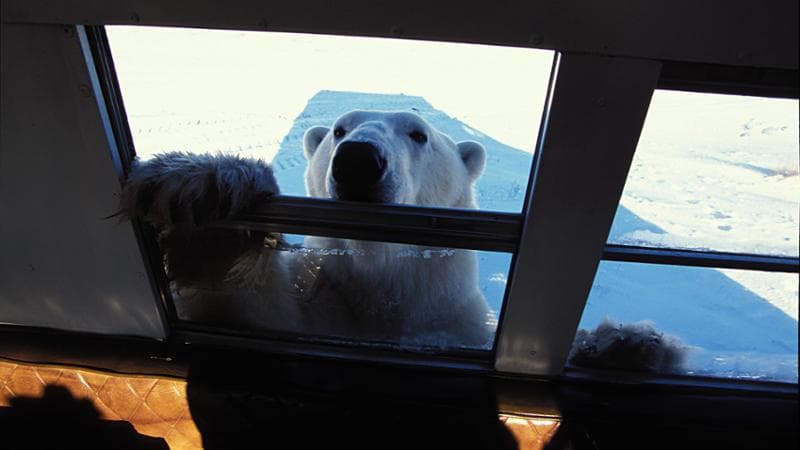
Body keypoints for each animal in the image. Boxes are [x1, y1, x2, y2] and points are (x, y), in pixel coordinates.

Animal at [120, 110, 494, 348]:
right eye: (339, 130)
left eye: (419, 134)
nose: (357, 159)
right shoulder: (321, 300)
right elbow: (245, 311)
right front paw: (202, 195)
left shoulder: (453, 323)